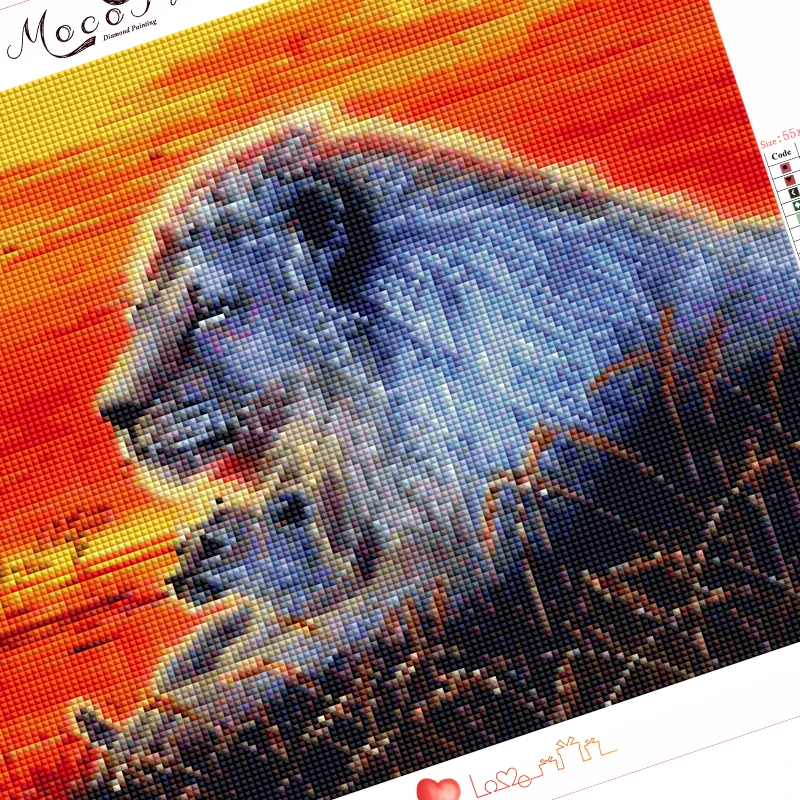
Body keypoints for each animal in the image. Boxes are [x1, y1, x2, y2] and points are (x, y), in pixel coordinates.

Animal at [73, 104, 800, 798]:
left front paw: (155, 738)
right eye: (139, 311)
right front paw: (135, 719)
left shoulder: (477, 557)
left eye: (213, 309)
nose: (112, 412)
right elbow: (224, 640)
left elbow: (295, 656)